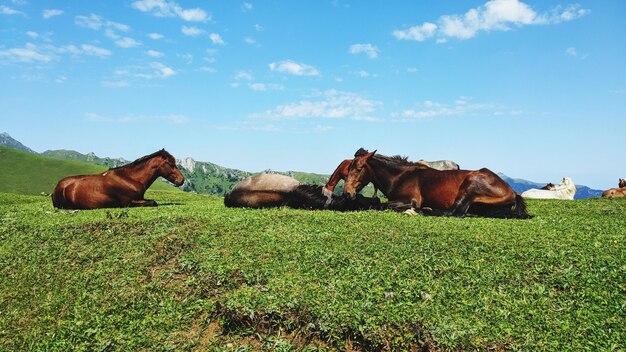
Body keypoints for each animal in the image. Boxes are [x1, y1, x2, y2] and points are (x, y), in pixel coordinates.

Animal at [51, 148, 183, 209]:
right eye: (171, 164)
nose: (181, 180)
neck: (129, 179)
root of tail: (58, 186)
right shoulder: (128, 202)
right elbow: (153, 202)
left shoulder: (140, 198)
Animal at [342, 148, 528, 219]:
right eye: (349, 168)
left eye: (358, 169)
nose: (347, 192)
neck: (401, 176)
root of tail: (512, 192)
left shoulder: (410, 200)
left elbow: (383, 205)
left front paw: (412, 210)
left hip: (470, 186)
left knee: (454, 212)